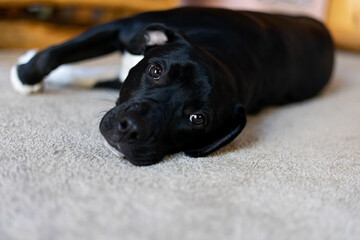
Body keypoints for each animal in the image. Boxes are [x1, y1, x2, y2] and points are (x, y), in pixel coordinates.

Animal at [9, 7, 334, 165]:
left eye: (197, 119)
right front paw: (25, 74)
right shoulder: (122, 27)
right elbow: (56, 53)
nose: (131, 128)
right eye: (155, 70)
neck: (221, 55)